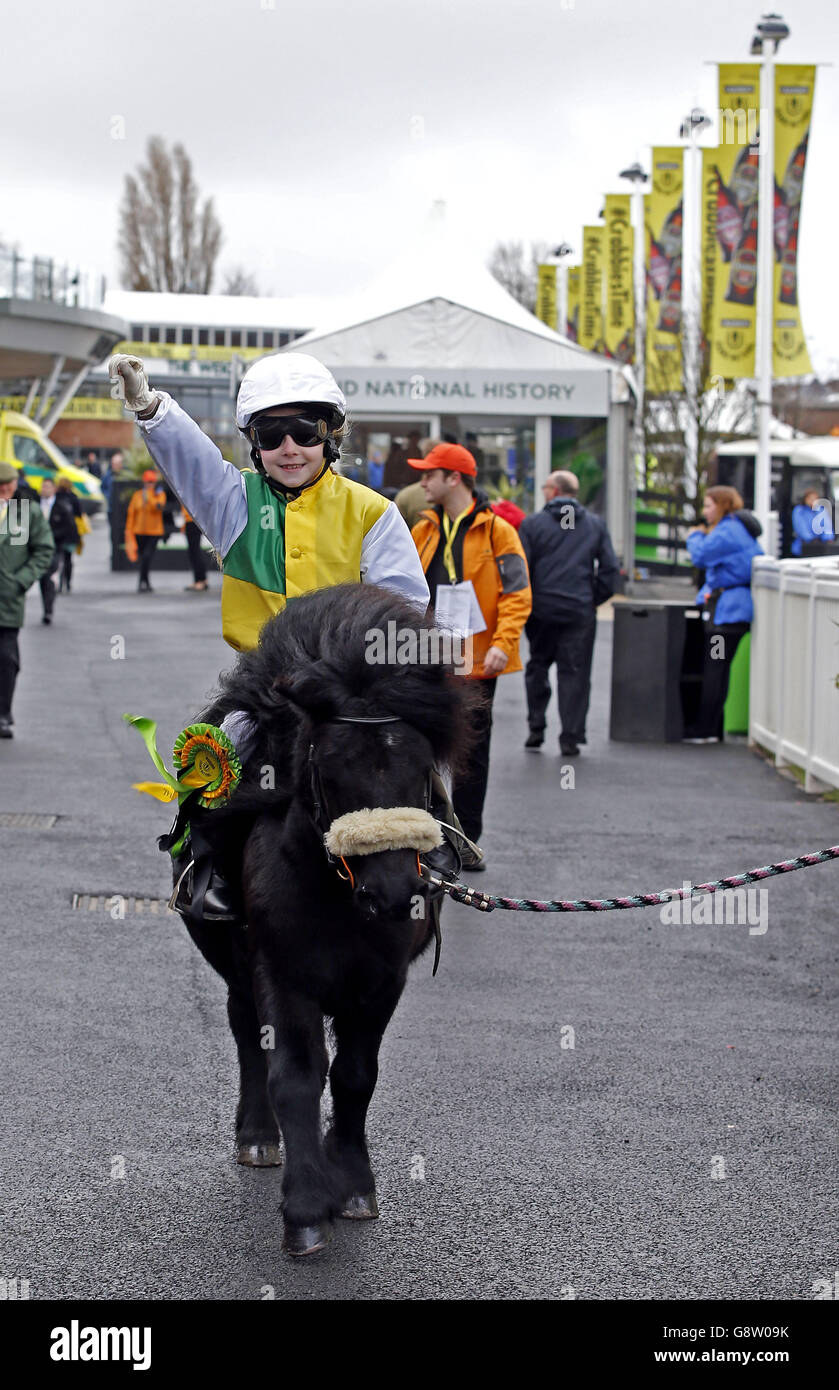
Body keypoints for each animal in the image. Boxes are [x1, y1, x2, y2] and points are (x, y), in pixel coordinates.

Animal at [186, 581, 472, 1256]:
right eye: (330, 767)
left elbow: (354, 1076)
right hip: (239, 967)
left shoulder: (381, 983)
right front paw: (307, 1208)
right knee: (247, 1034)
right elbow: (295, 1075)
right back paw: (258, 1137)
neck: (338, 896)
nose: (394, 894)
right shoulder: (283, 974)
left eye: (419, 767)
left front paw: (354, 1184)